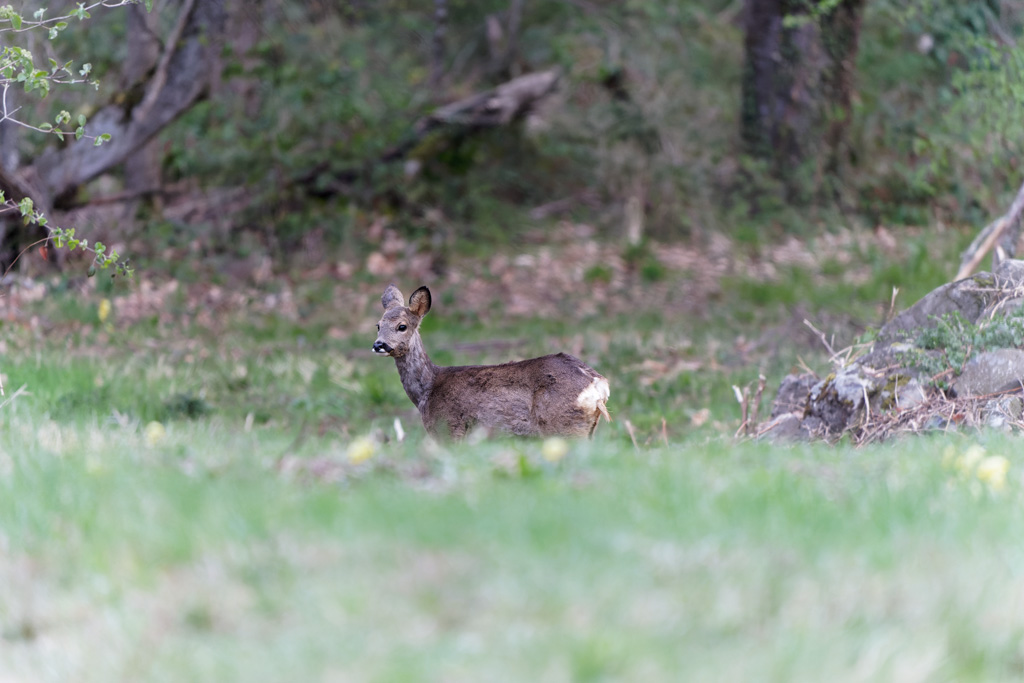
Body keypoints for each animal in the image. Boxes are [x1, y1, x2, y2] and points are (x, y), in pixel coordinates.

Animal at [372, 284, 606, 440]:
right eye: (378, 325)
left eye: (402, 326)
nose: (379, 345)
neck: (426, 391)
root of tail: (599, 386)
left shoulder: (451, 429)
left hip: (563, 426)